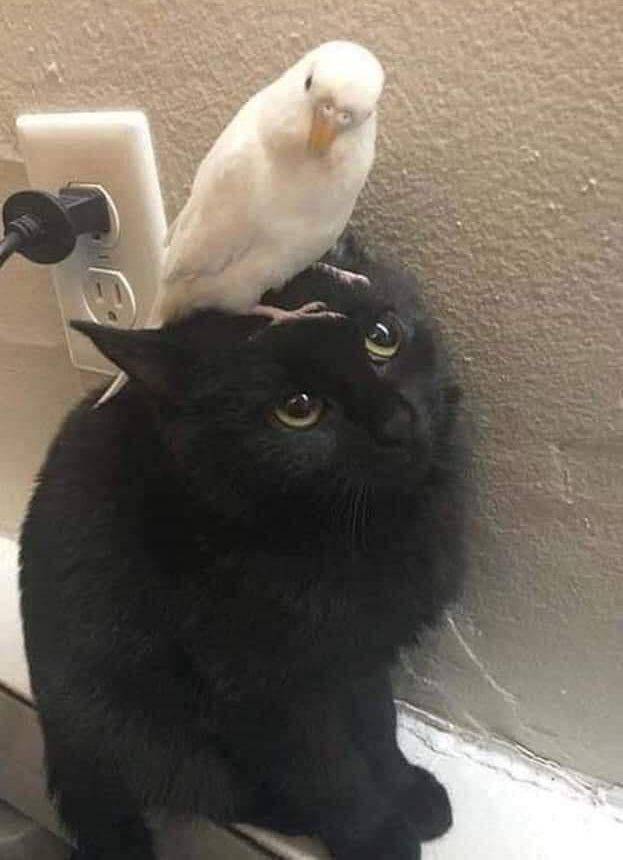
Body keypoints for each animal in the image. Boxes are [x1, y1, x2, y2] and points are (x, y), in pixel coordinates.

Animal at [20, 235, 466, 860]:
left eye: (383, 336)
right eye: (297, 408)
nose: (396, 423)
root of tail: (60, 746)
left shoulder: (359, 651)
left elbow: (377, 722)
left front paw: (405, 788)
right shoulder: (263, 684)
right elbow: (330, 769)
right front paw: (376, 834)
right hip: (141, 726)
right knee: (216, 789)